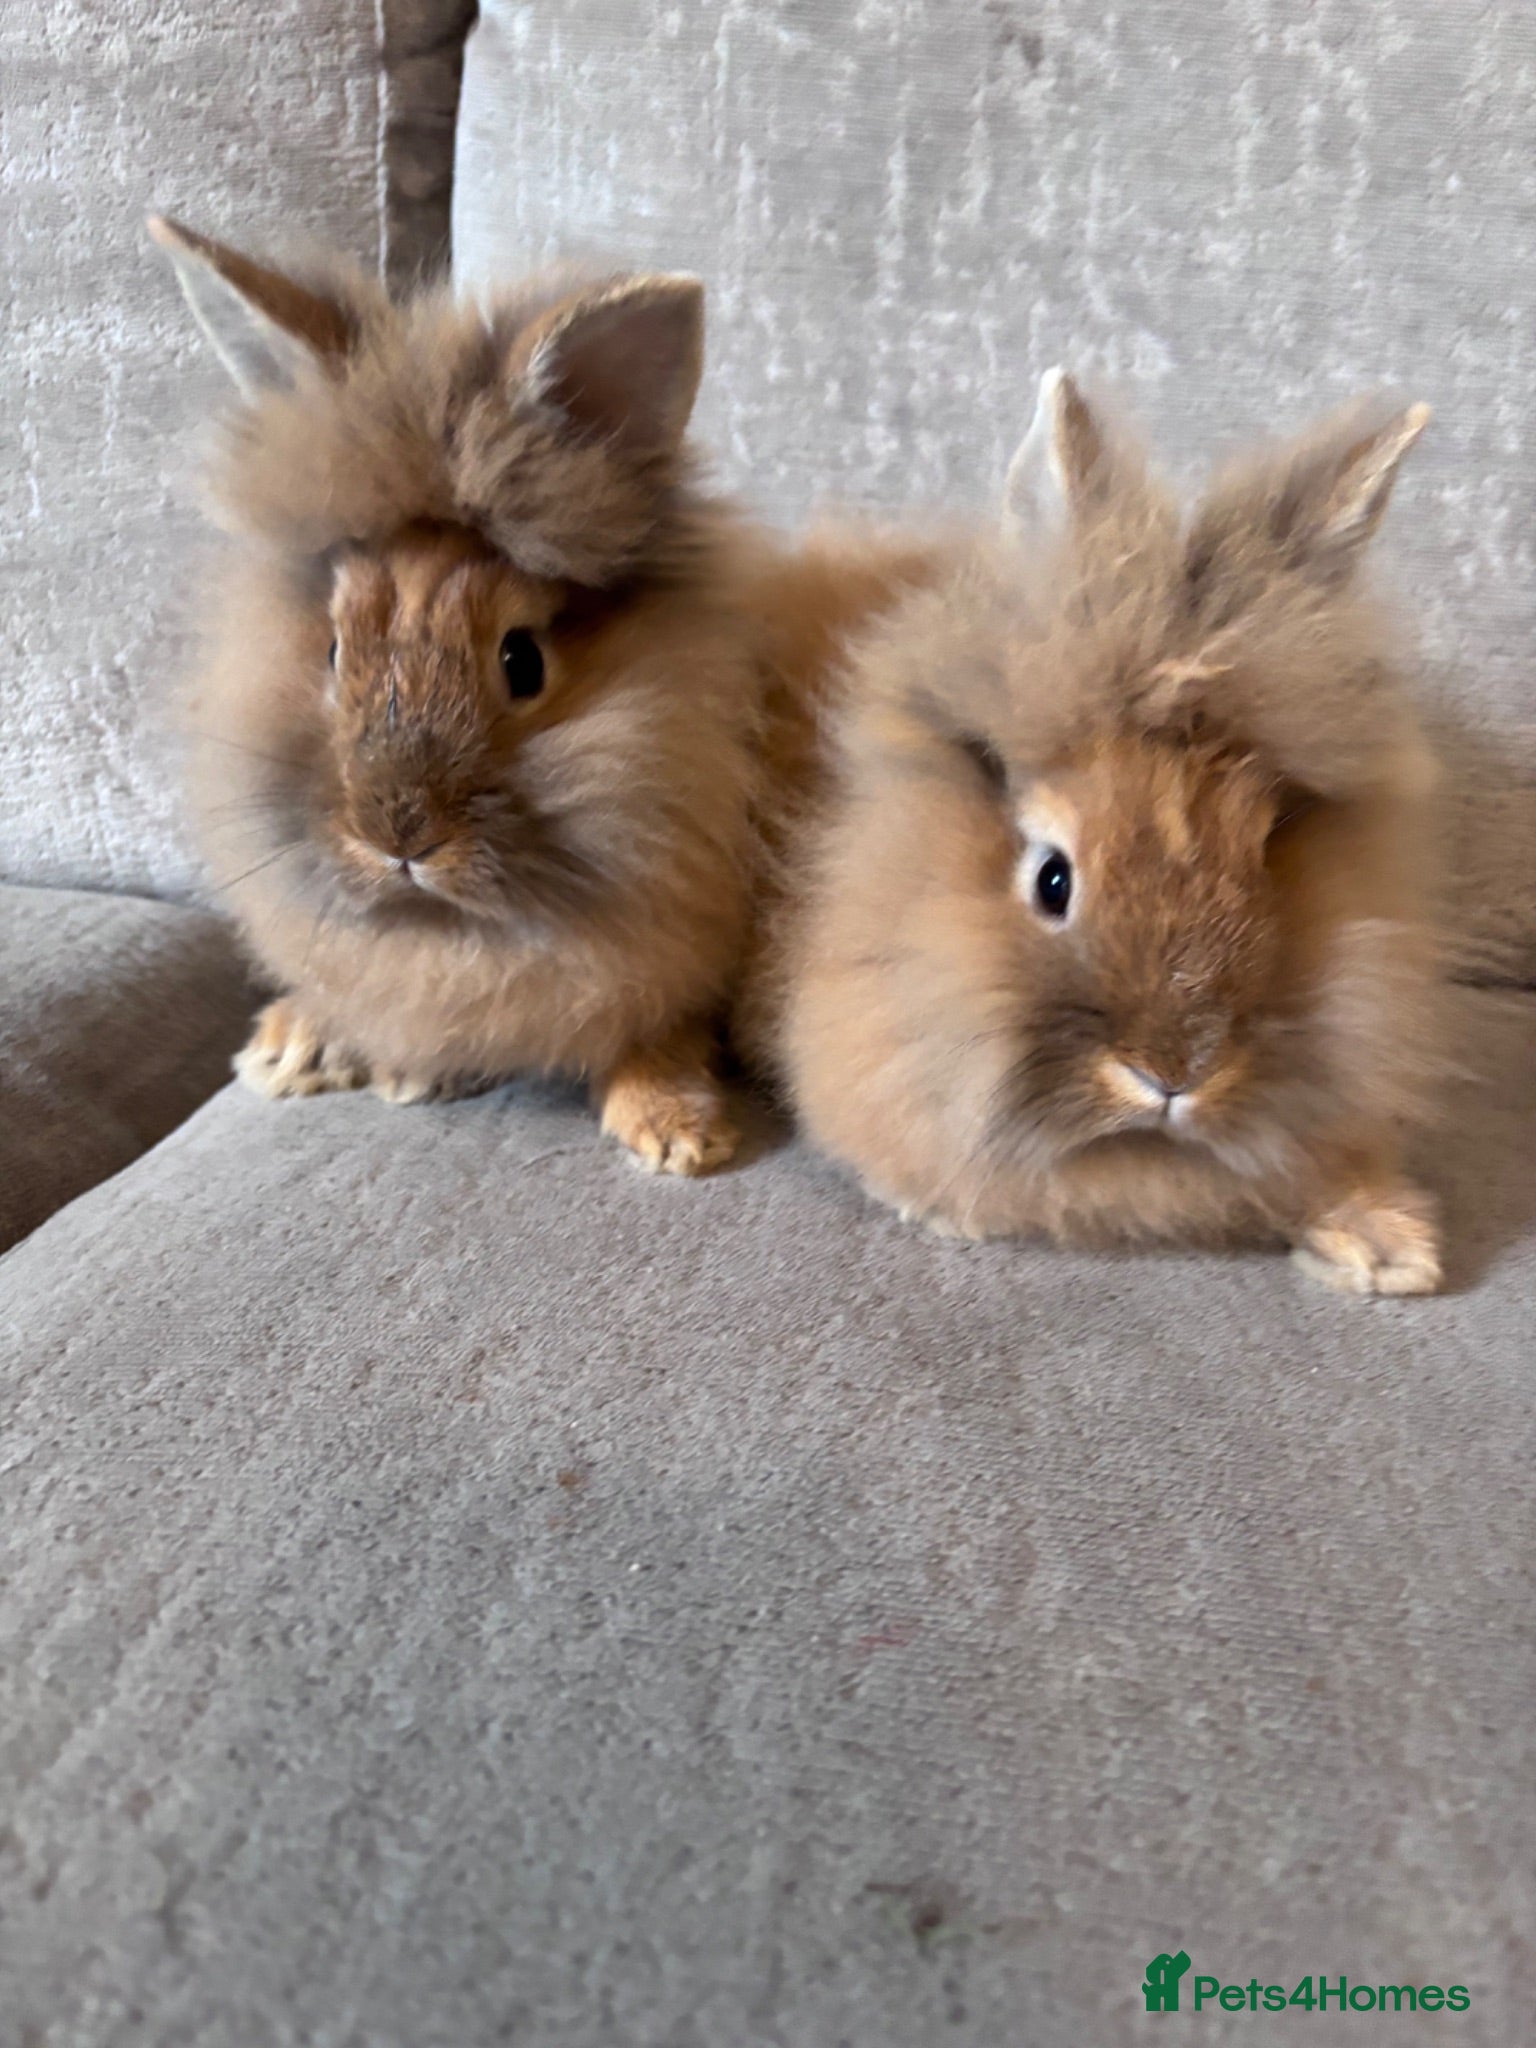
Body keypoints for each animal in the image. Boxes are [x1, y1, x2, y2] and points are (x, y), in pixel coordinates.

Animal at [150, 215, 776, 1174]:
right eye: (332, 650)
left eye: (523, 661)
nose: (399, 835)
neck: (453, 929)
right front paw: (375, 1062)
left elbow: (658, 1031)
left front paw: (679, 1133)